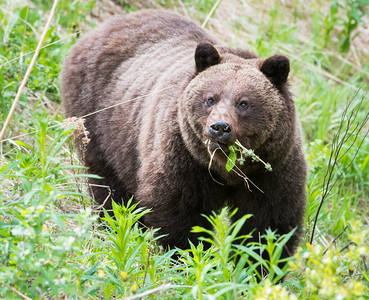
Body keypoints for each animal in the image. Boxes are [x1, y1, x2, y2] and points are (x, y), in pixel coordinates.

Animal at [61, 9, 306, 258]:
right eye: (211, 98)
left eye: (243, 103)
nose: (219, 127)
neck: (226, 170)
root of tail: (102, 27)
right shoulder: (184, 159)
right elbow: (180, 213)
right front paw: (190, 255)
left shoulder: (272, 169)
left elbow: (268, 225)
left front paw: (256, 262)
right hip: (100, 122)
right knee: (108, 184)